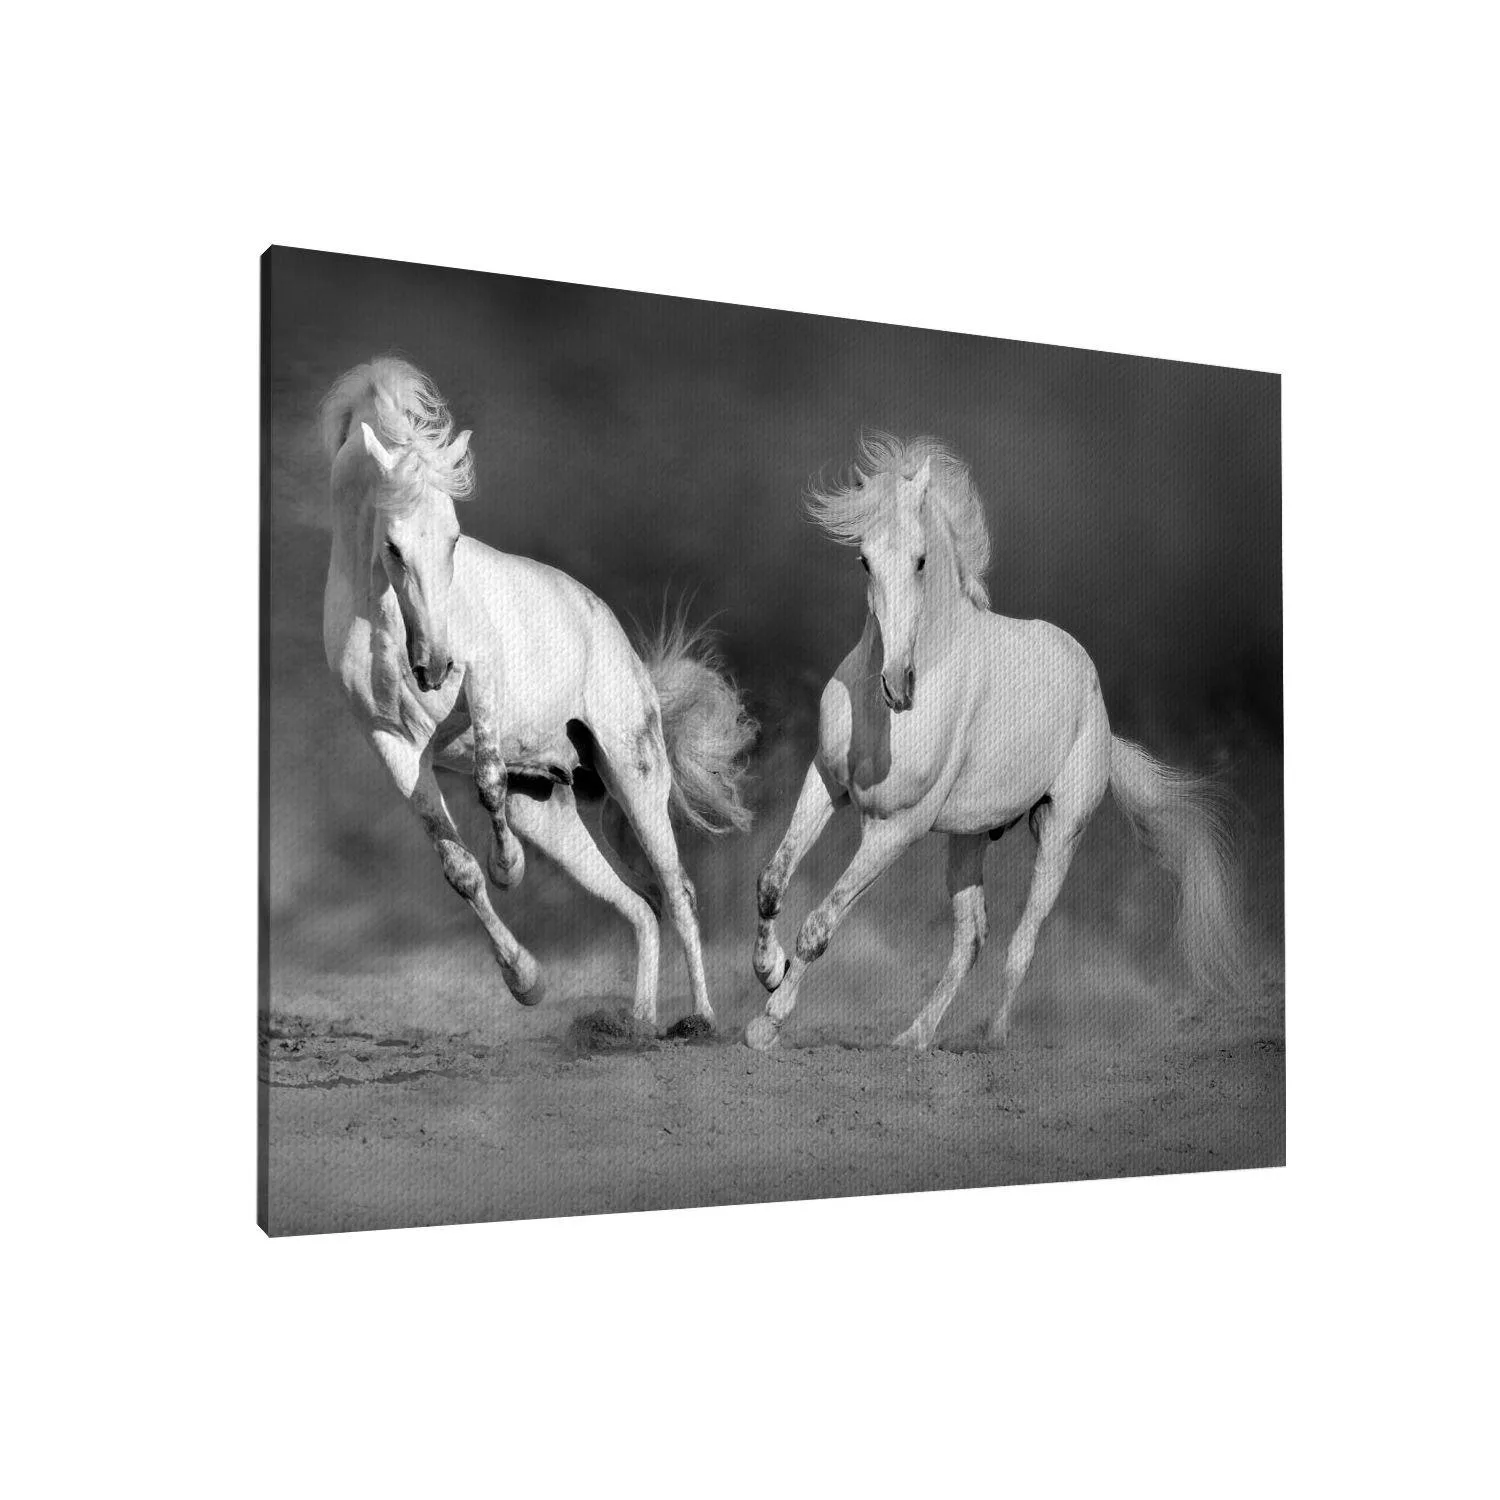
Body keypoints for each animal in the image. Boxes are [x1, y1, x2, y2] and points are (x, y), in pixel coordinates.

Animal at [319, 357, 754, 1028]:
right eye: (393, 545)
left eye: (454, 537)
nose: (434, 667)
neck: (383, 618)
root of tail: (625, 649)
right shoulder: (392, 744)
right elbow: (459, 869)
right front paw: (526, 982)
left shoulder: (483, 681)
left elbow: (488, 780)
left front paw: (510, 870)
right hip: (548, 810)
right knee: (640, 905)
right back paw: (637, 1025)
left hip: (634, 772)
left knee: (676, 890)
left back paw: (701, 1021)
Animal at [747, 432, 1246, 1052]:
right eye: (864, 558)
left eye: (921, 560)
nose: (897, 686)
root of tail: (1101, 712)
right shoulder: (826, 783)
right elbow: (772, 882)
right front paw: (768, 972)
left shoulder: (895, 828)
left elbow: (821, 925)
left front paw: (767, 1022)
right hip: (968, 839)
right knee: (972, 938)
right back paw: (912, 1039)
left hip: (1059, 832)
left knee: (1022, 941)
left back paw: (994, 1039)